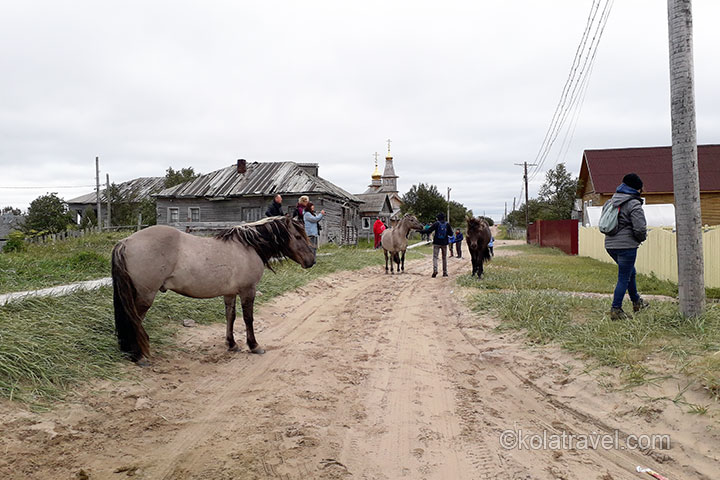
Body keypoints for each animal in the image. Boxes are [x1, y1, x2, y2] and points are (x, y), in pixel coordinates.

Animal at [111, 216, 316, 364]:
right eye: (298, 237)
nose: (311, 261)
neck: (247, 247)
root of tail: (126, 241)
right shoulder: (247, 291)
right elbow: (248, 318)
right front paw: (254, 346)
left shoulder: (230, 293)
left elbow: (230, 317)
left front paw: (231, 344)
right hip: (145, 297)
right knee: (134, 321)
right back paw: (138, 356)